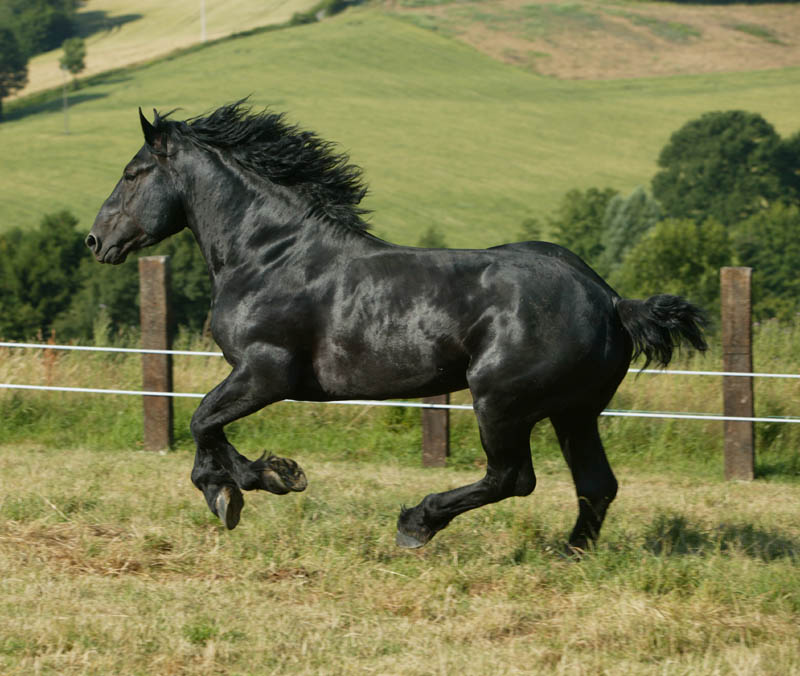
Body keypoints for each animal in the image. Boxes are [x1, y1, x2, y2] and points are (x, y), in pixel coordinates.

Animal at [87, 103, 708, 552]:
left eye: (132, 172)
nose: (95, 241)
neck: (269, 255)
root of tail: (610, 299)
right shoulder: (256, 378)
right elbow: (206, 430)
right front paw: (248, 484)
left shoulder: (266, 373)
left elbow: (201, 423)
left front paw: (255, 484)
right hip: (573, 411)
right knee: (595, 484)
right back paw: (571, 552)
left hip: (500, 402)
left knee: (512, 478)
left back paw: (416, 524)